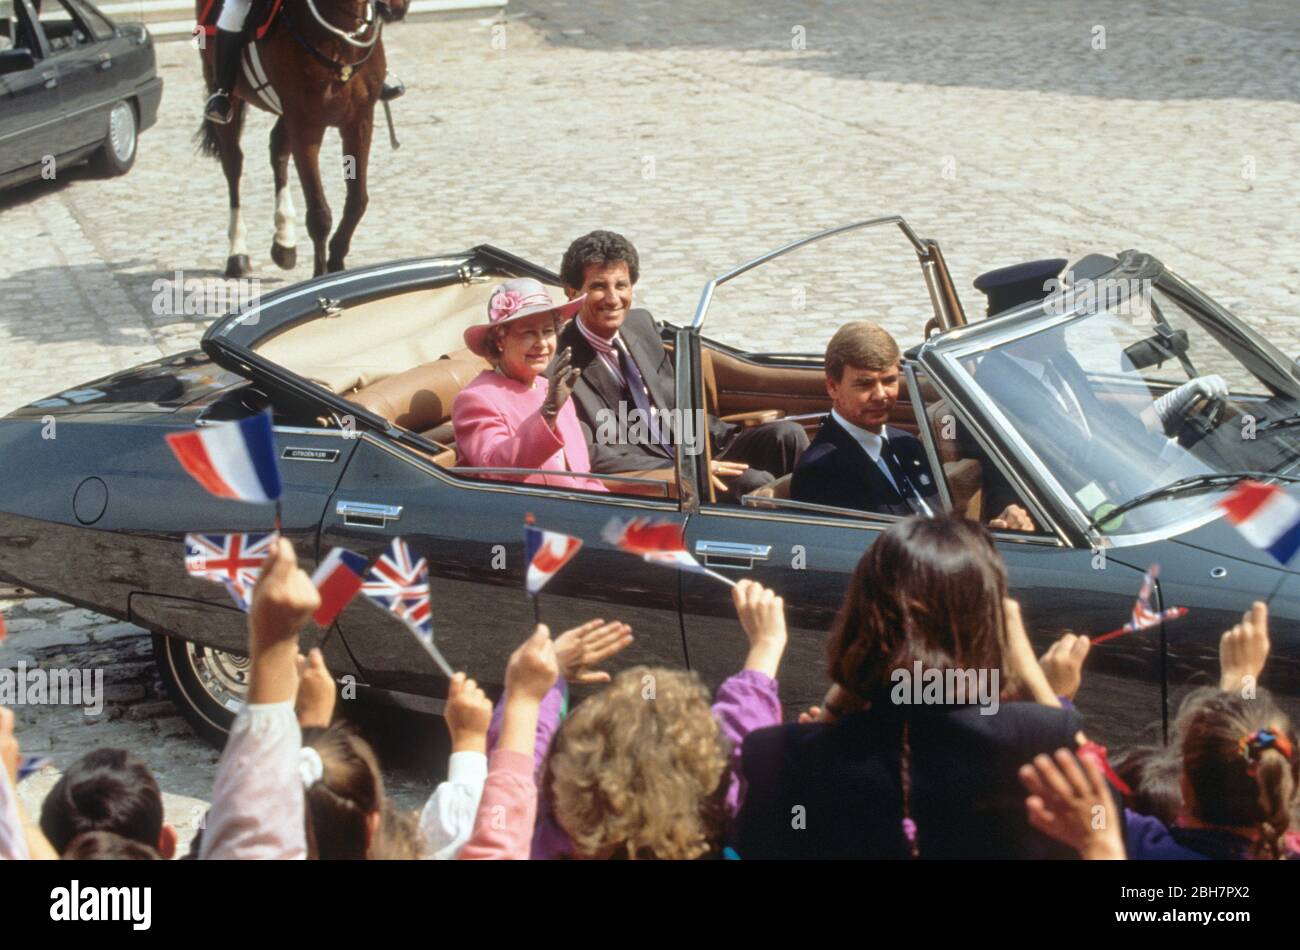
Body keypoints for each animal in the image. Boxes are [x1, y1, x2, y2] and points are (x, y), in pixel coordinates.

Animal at [192, 0, 403, 278]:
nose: (396, 9)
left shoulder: (359, 120)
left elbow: (358, 201)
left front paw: (337, 262)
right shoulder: (306, 127)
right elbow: (319, 215)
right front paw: (322, 275)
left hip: (287, 115)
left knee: (278, 149)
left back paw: (284, 242)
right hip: (229, 97)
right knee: (233, 165)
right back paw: (238, 254)